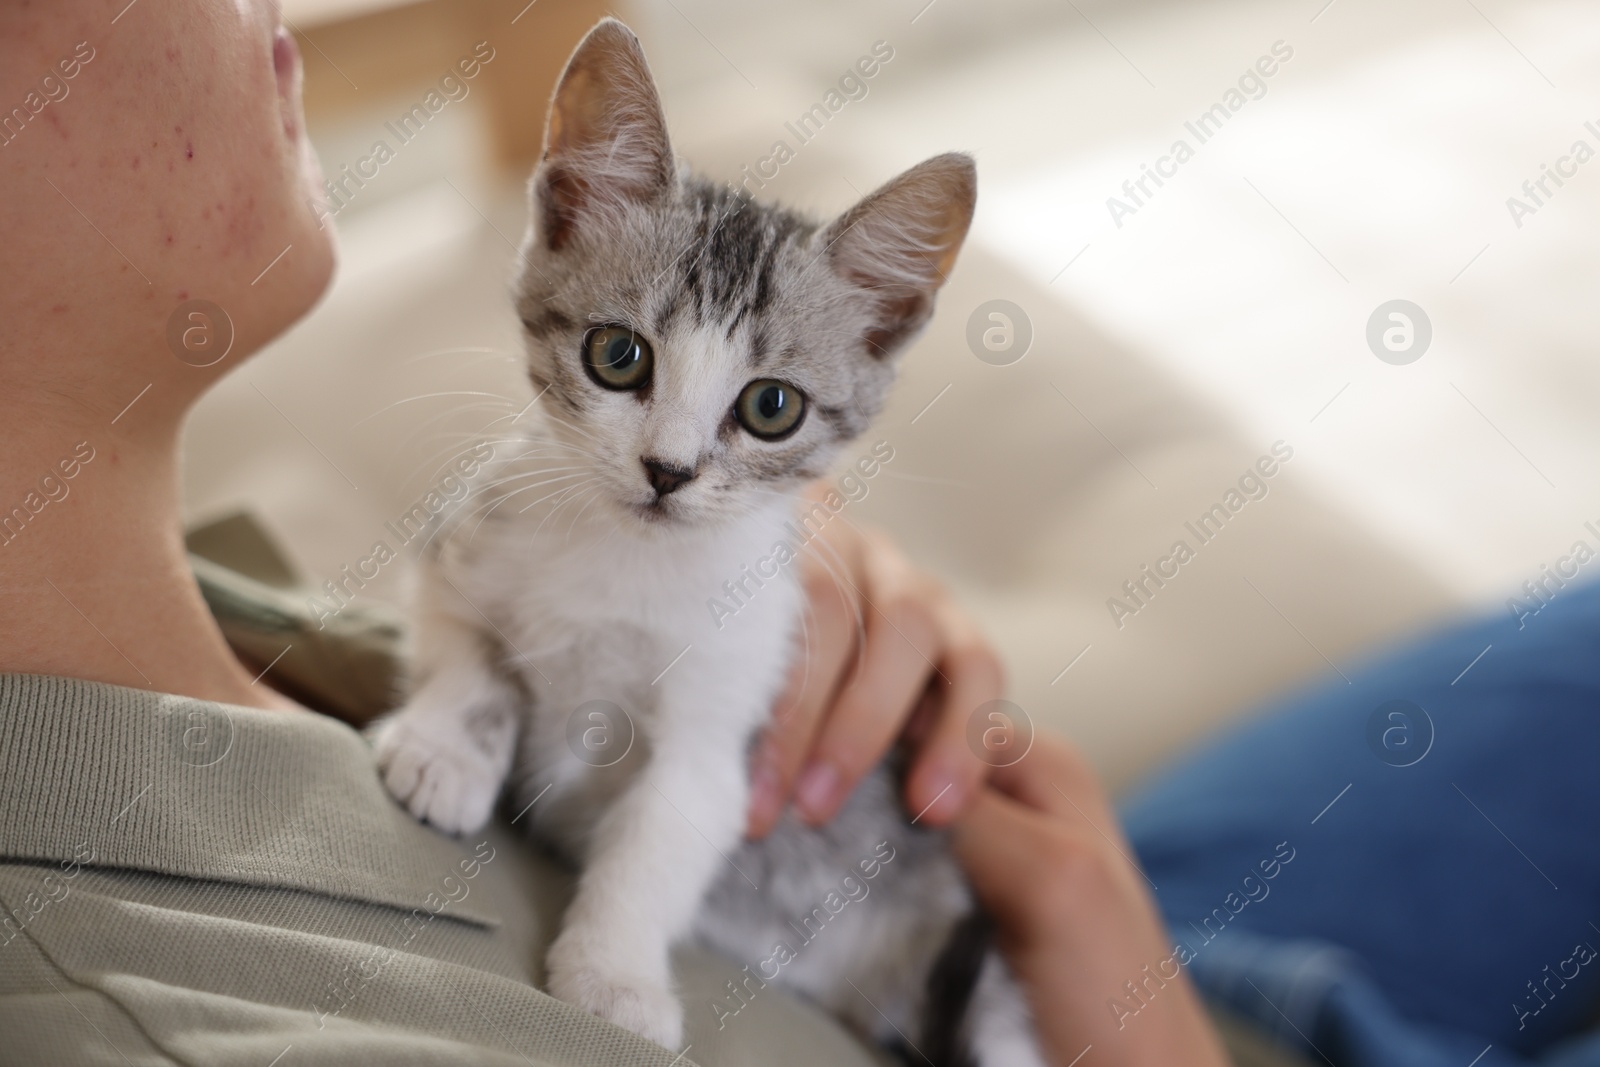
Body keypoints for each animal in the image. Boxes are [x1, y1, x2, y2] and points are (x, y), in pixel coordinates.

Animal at [374, 16, 1049, 1067]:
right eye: (618, 355)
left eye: (772, 408)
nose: (668, 470)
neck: (626, 559)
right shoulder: (456, 555)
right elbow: (468, 655)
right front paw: (447, 751)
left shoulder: (720, 733)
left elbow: (656, 844)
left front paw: (613, 979)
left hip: (981, 985)